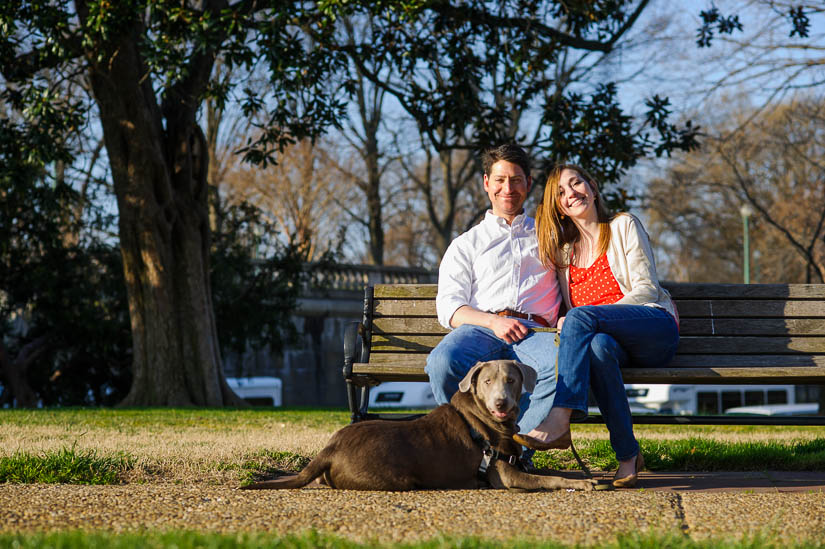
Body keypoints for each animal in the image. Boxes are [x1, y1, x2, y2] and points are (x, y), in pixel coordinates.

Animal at [241, 360, 596, 492]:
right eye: (487, 382)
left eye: (510, 380)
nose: (500, 403)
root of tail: (329, 449)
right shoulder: (505, 474)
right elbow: (548, 478)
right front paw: (584, 483)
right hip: (399, 477)